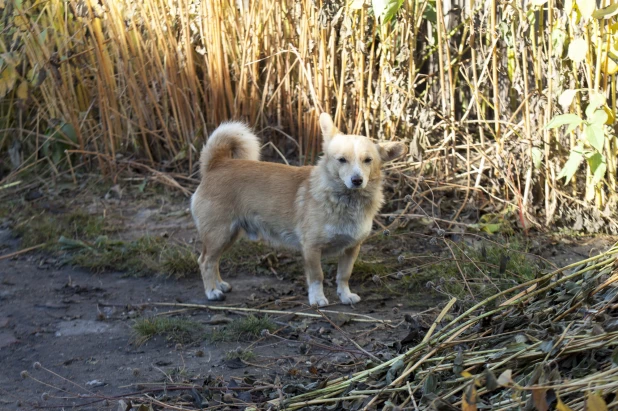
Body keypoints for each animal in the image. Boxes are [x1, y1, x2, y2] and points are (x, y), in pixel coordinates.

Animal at [190, 112, 406, 306]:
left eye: (368, 160)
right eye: (341, 160)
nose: (357, 180)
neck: (346, 201)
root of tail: (217, 163)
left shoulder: (351, 249)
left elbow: (344, 275)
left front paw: (345, 296)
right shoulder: (311, 248)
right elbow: (317, 277)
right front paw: (317, 299)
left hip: (229, 236)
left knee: (214, 261)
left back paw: (220, 285)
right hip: (219, 234)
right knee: (205, 261)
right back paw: (212, 291)